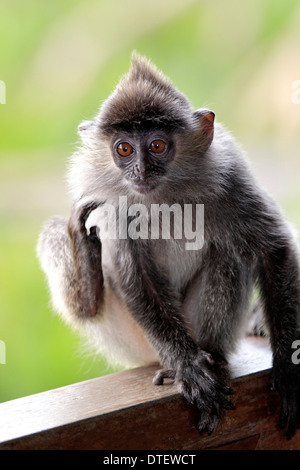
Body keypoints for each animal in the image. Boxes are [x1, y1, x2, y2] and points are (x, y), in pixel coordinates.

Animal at [37, 53, 300, 438]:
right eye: (124, 148)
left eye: (157, 146)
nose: (141, 171)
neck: (164, 198)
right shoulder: (113, 207)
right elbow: (137, 278)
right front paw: (188, 367)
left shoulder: (231, 177)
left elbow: (273, 249)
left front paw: (287, 367)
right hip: (133, 337)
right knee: (59, 240)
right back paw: (88, 281)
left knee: (226, 253)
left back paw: (215, 357)